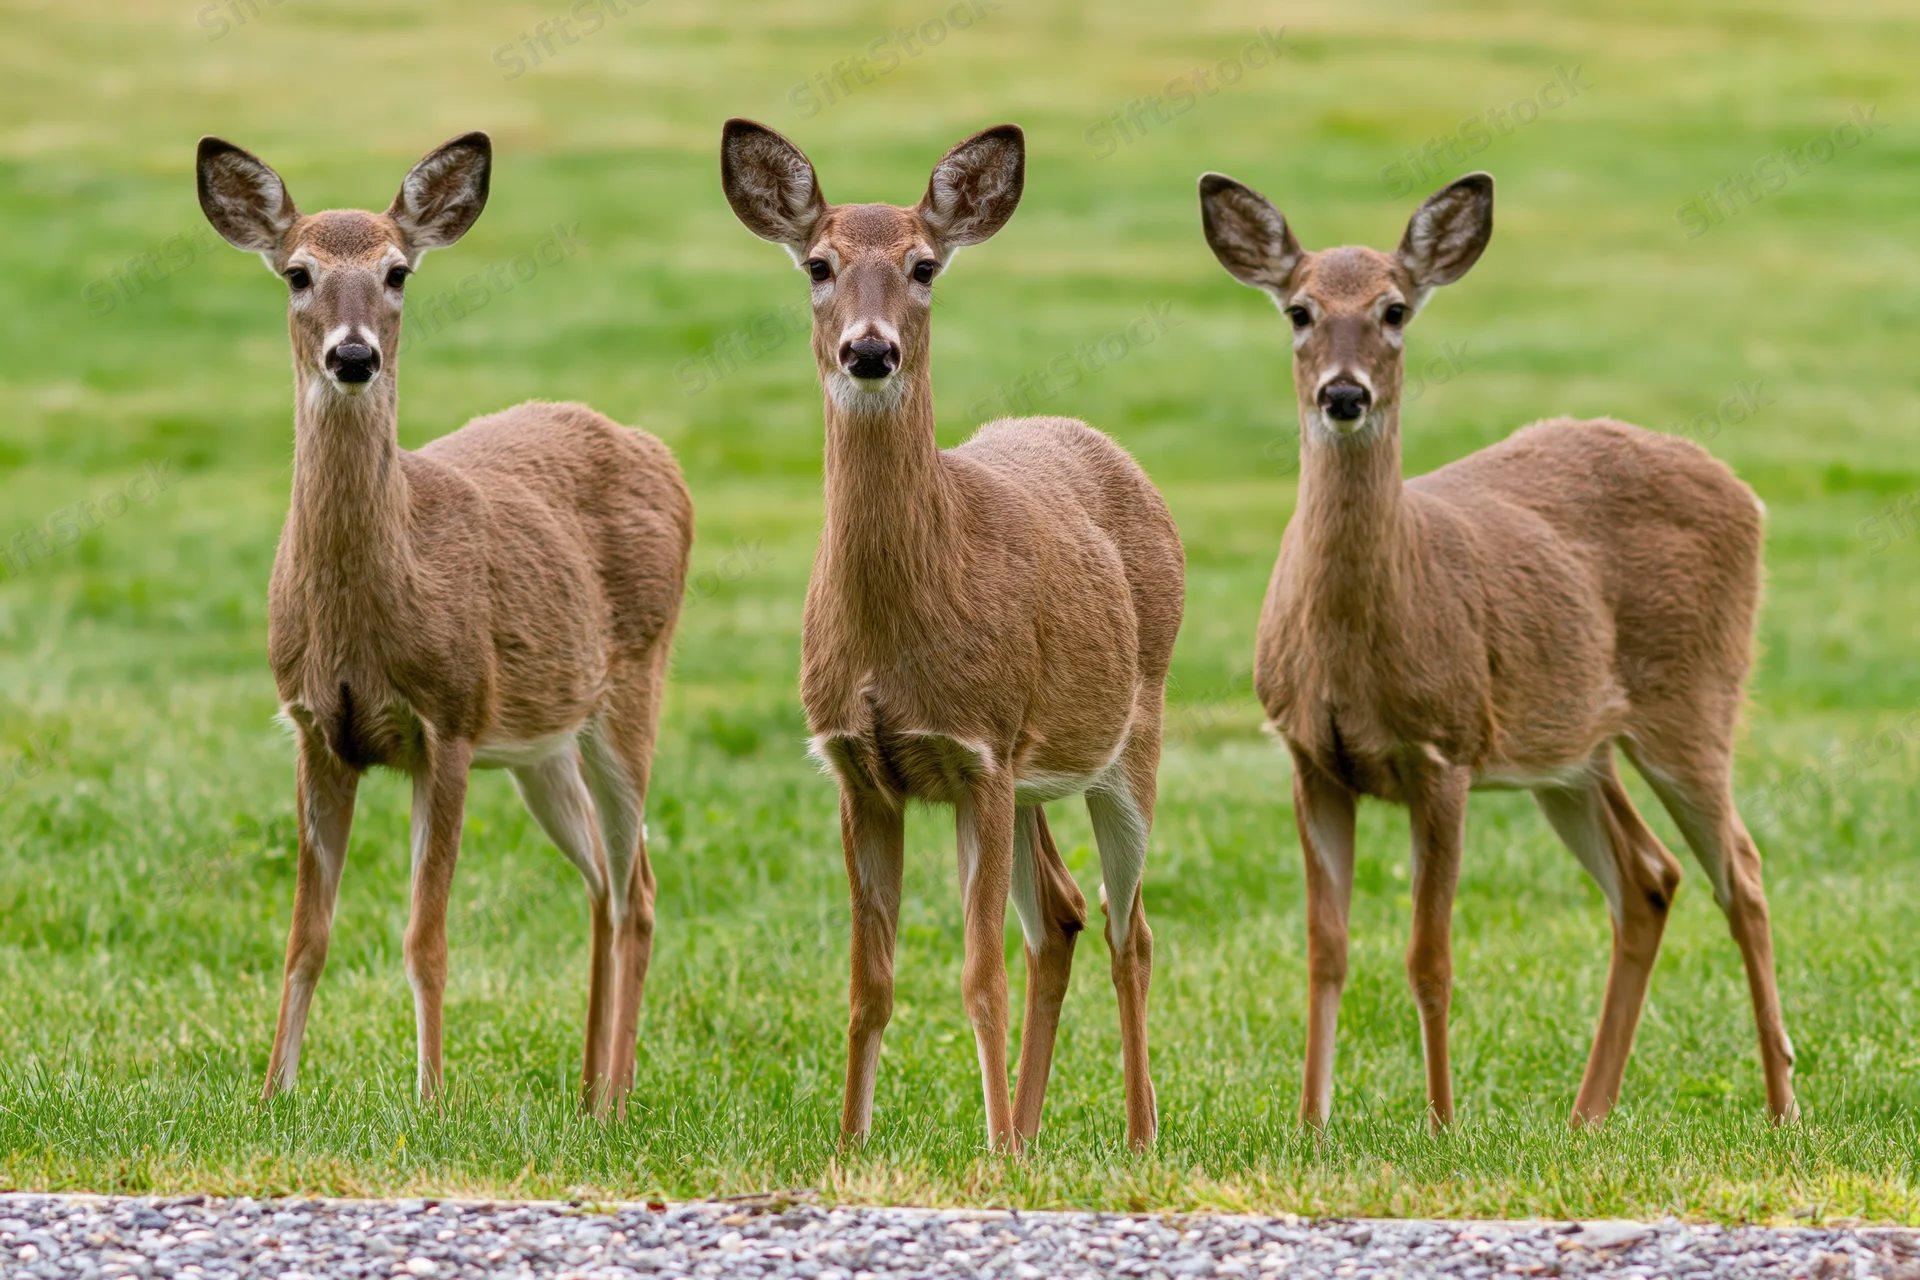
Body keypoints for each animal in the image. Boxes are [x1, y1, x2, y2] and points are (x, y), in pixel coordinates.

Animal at [195, 132, 693, 1113]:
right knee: (602, 882)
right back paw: (586, 1092)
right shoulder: (315, 729)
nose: (353, 357)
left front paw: (429, 1100)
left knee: (640, 884)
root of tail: (659, 451)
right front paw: (272, 1095)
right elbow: (306, 933)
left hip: (631, 688)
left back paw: (615, 1098)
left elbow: (425, 935)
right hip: (542, 745)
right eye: (298, 273)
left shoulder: (452, 720)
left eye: (397, 272)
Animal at [720, 119, 1184, 1152]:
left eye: (924, 265)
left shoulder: (978, 751)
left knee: (1126, 927)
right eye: (819, 264)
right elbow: (870, 983)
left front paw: (993, 1156)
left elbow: (979, 977)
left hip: (1129, 735)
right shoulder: (859, 769)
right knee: (1060, 916)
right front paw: (850, 1147)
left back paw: (1133, 1136)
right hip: (1032, 778)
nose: (869, 349)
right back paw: (1035, 1129)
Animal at [1197, 168, 1797, 1131]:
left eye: (1395, 310)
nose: (1343, 395)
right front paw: (1310, 1125)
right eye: (1299, 310)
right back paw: (1588, 1114)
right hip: (1574, 753)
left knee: (1739, 869)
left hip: (1695, 697)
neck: (1352, 650)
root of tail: (1745, 493)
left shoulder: (1445, 749)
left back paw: (1781, 1100)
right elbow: (1325, 949)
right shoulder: (1308, 754)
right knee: (1649, 878)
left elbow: (1429, 955)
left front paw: (1442, 1123)